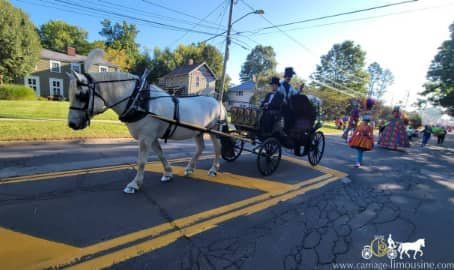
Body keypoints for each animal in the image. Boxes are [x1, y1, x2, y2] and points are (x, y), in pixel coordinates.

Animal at [67, 49, 227, 195]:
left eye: (81, 95)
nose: (71, 124)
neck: (138, 100)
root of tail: (217, 101)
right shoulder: (152, 137)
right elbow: (161, 155)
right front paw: (167, 173)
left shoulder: (145, 138)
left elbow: (141, 161)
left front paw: (134, 184)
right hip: (198, 131)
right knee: (200, 148)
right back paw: (189, 169)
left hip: (214, 130)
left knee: (218, 148)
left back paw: (213, 169)